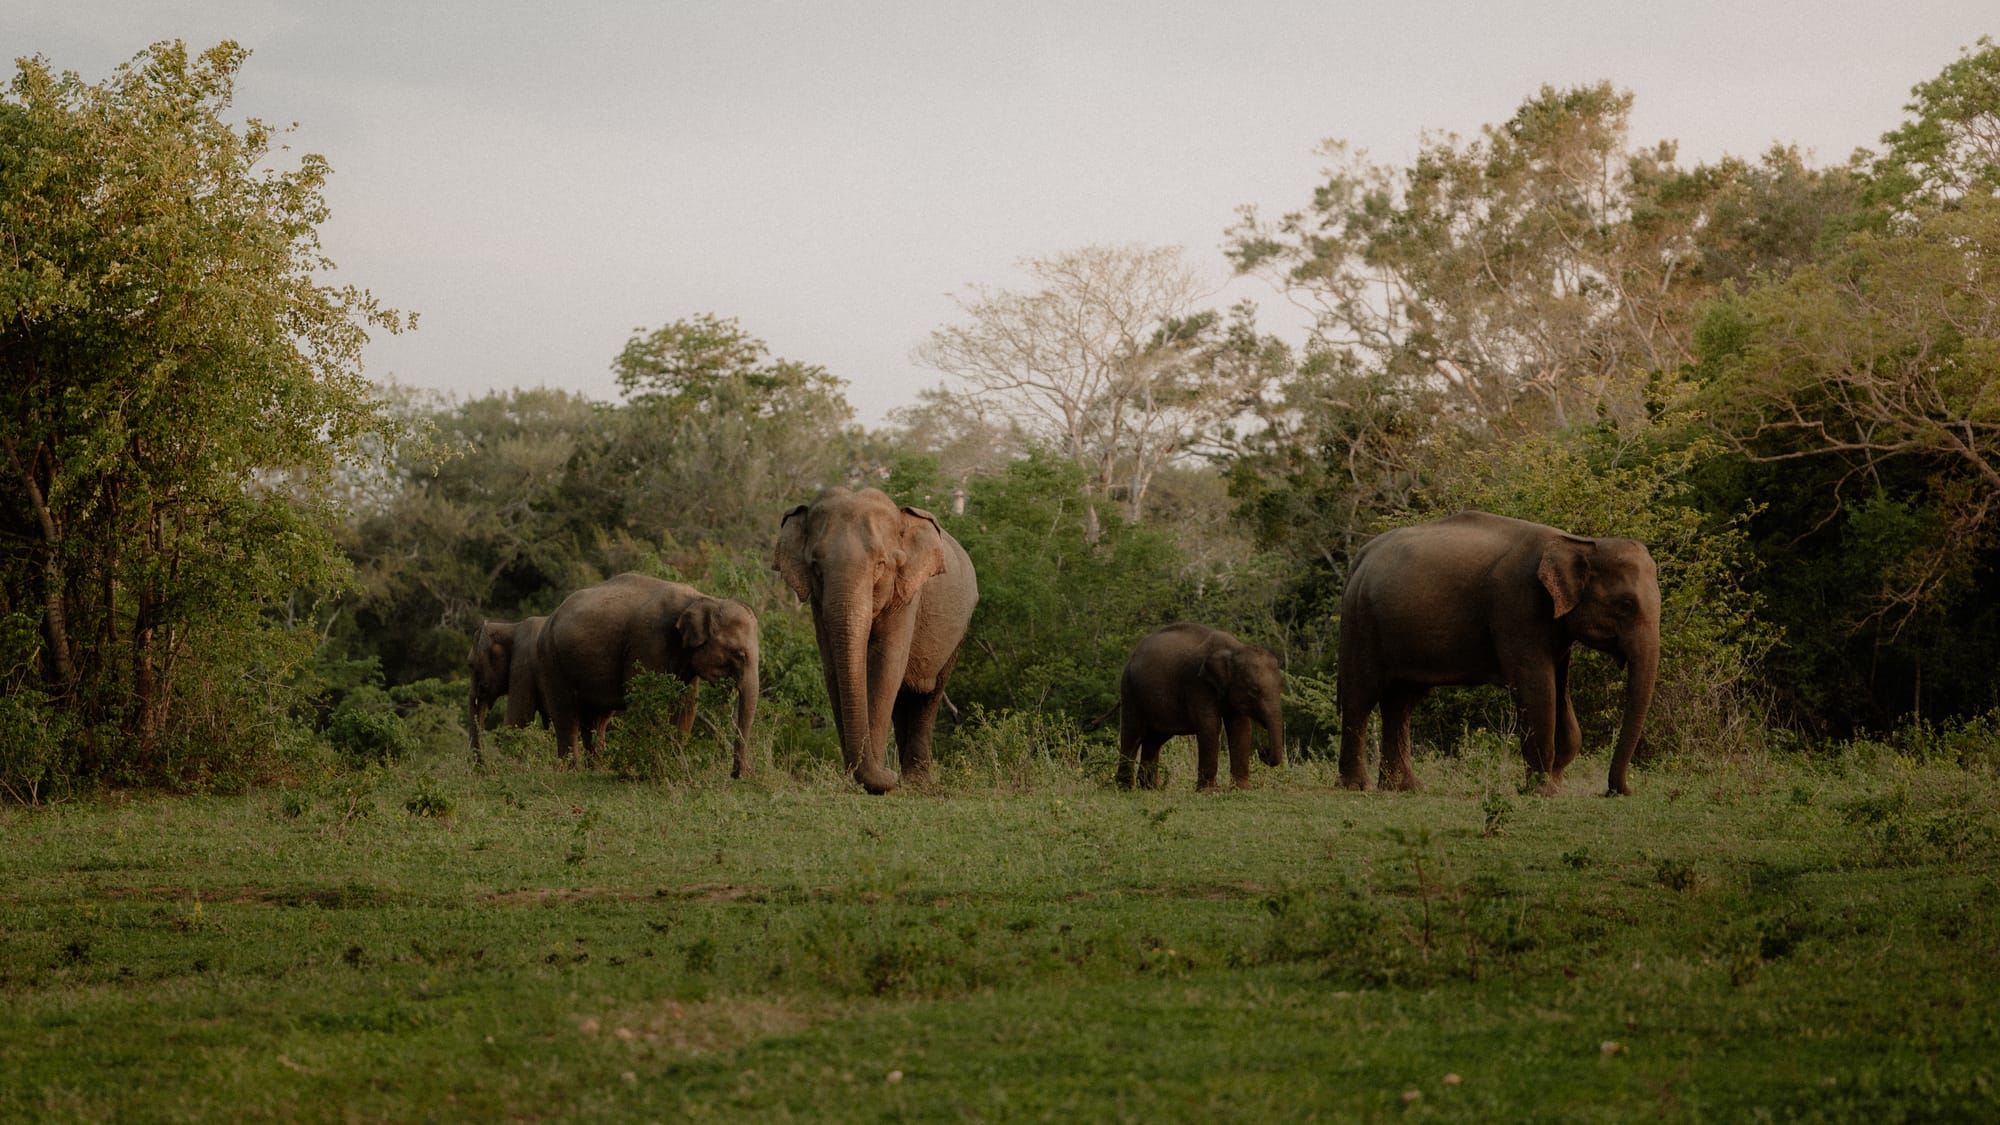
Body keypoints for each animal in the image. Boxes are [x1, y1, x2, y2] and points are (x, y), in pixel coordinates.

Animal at [536, 576, 760, 768]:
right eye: (739, 654)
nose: (736, 774)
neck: (704, 598)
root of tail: (551, 616)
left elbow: (686, 705)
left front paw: (673, 764)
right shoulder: (648, 642)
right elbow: (644, 697)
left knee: (597, 719)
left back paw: (596, 769)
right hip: (550, 660)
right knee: (565, 715)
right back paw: (571, 770)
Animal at [772, 486, 976, 792]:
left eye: (880, 564)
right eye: (816, 567)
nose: (888, 774)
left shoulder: (907, 594)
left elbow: (886, 664)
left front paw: (879, 781)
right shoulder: (818, 606)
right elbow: (832, 667)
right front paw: (859, 778)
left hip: (959, 631)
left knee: (927, 695)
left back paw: (915, 782)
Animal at [1120, 620, 1288, 788]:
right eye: (1253, 691)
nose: (1263, 752)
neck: (1233, 649)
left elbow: (1241, 727)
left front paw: (1242, 789)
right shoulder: (1197, 684)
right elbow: (1210, 724)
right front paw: (1210, 790)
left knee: (1154, 739)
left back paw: (1149, 788)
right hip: (1130, 691)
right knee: (1132, 735)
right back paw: (1126, 788)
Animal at [1344, 512, 1656, 792]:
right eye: (1626, 605)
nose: (1619, 790)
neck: (1579, 542)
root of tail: (1361, 556)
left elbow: (1559, 693)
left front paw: (1555, 786)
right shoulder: (1517, 606)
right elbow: (1537, 689)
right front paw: (1542, 791)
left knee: (1400, 702)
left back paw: (1405, 788)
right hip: (1361, 624)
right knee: (1360, 698)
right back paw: (1357, 787)